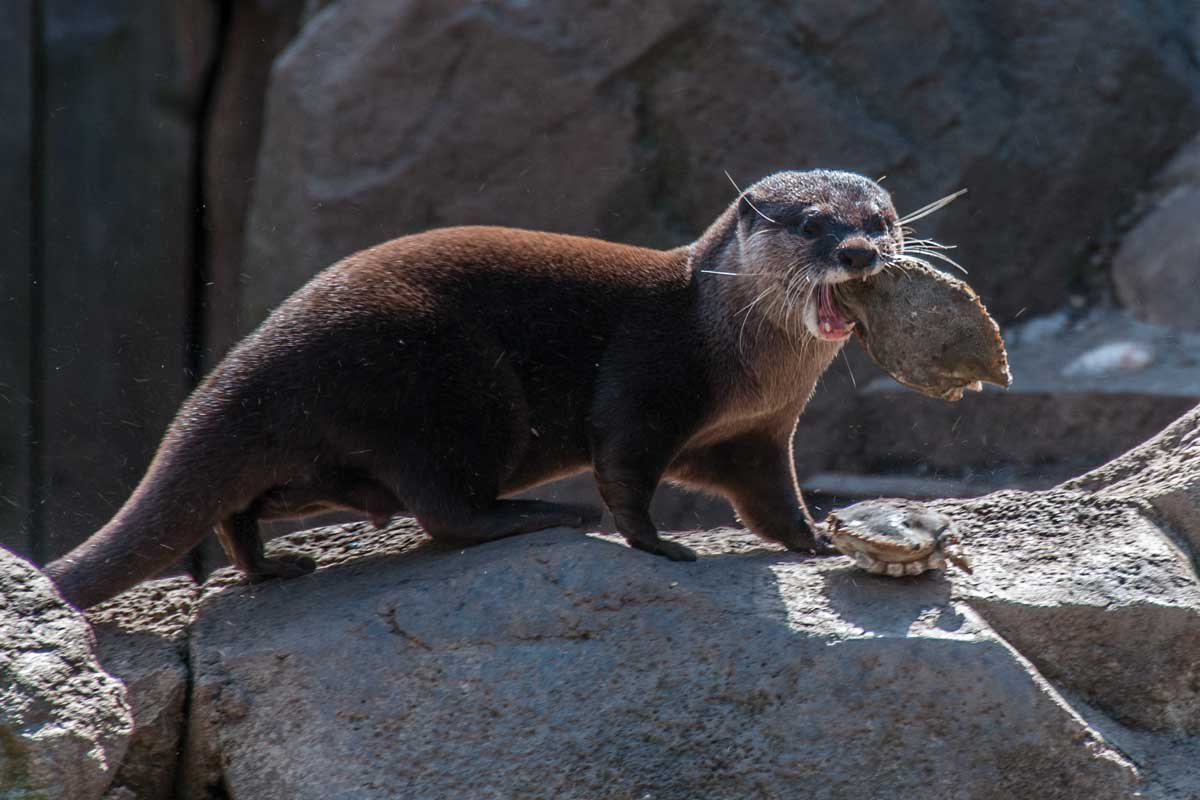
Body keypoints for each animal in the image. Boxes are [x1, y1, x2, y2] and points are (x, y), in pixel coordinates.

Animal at [44, 169, 902, 606]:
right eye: (813, 224)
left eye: (883, 218)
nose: (861, 252)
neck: (722, 336)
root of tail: (253, 355)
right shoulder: (649, 381)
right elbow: (625, 469)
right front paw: (658, 546)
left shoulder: (754, 433)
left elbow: (772, 500)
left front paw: (818, 539)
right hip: (450, 389)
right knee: (444, 509)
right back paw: (545, 515)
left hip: (337, 450)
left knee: (258, 501)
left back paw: (272, 567)